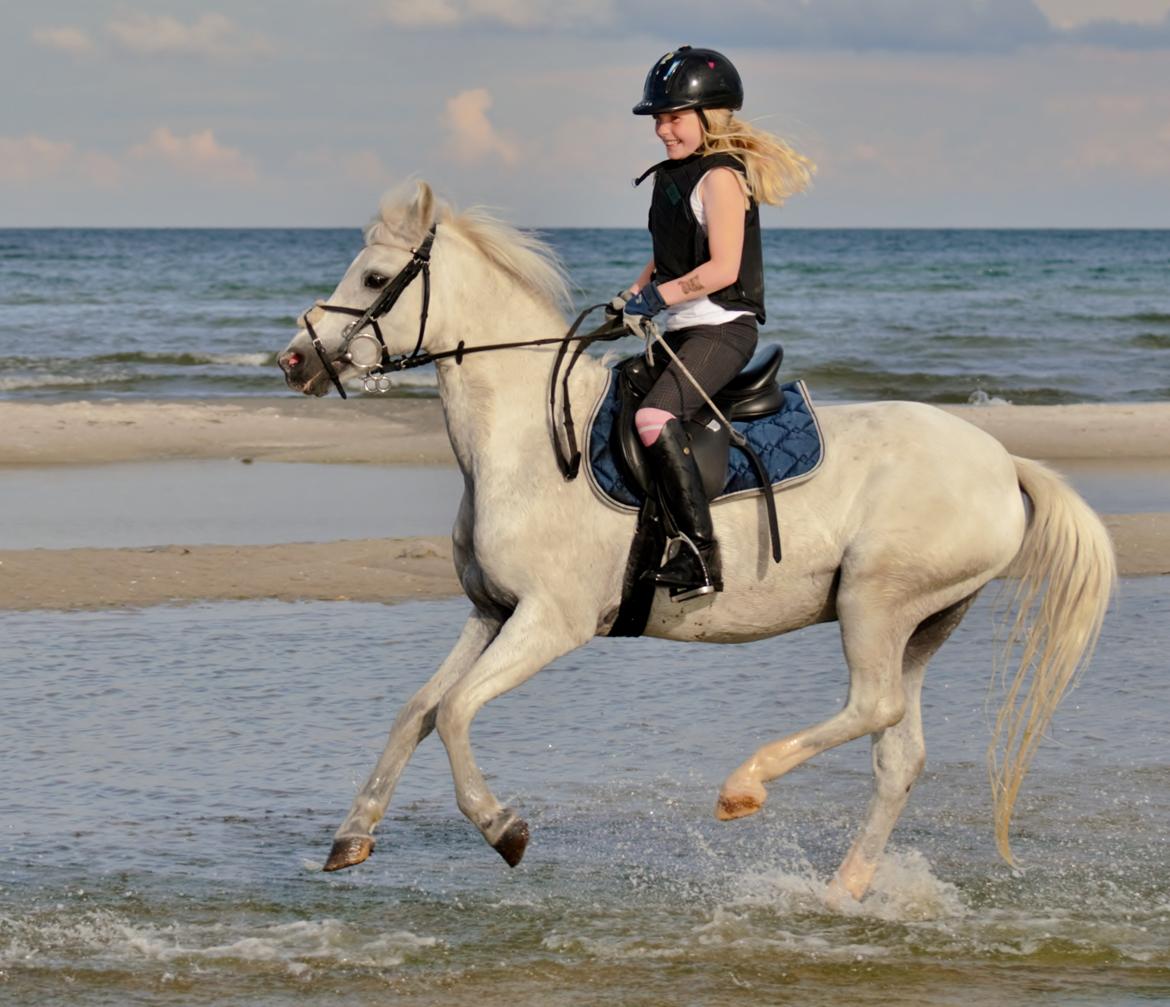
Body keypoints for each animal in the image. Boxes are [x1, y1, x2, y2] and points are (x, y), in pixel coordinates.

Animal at [277, 181, 1115, 902]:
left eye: (375, 276)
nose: (294, 359)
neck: (524, 438)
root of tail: (1002, 462)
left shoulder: (551, 620)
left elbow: (454, 712)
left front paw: (502, 827)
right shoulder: (492, 611)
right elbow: (417, 709)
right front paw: (351, 837)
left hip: (875, 602)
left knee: (871, 706)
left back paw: (744, 786)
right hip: (924, 623)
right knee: (897, 753)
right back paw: (843, 889)